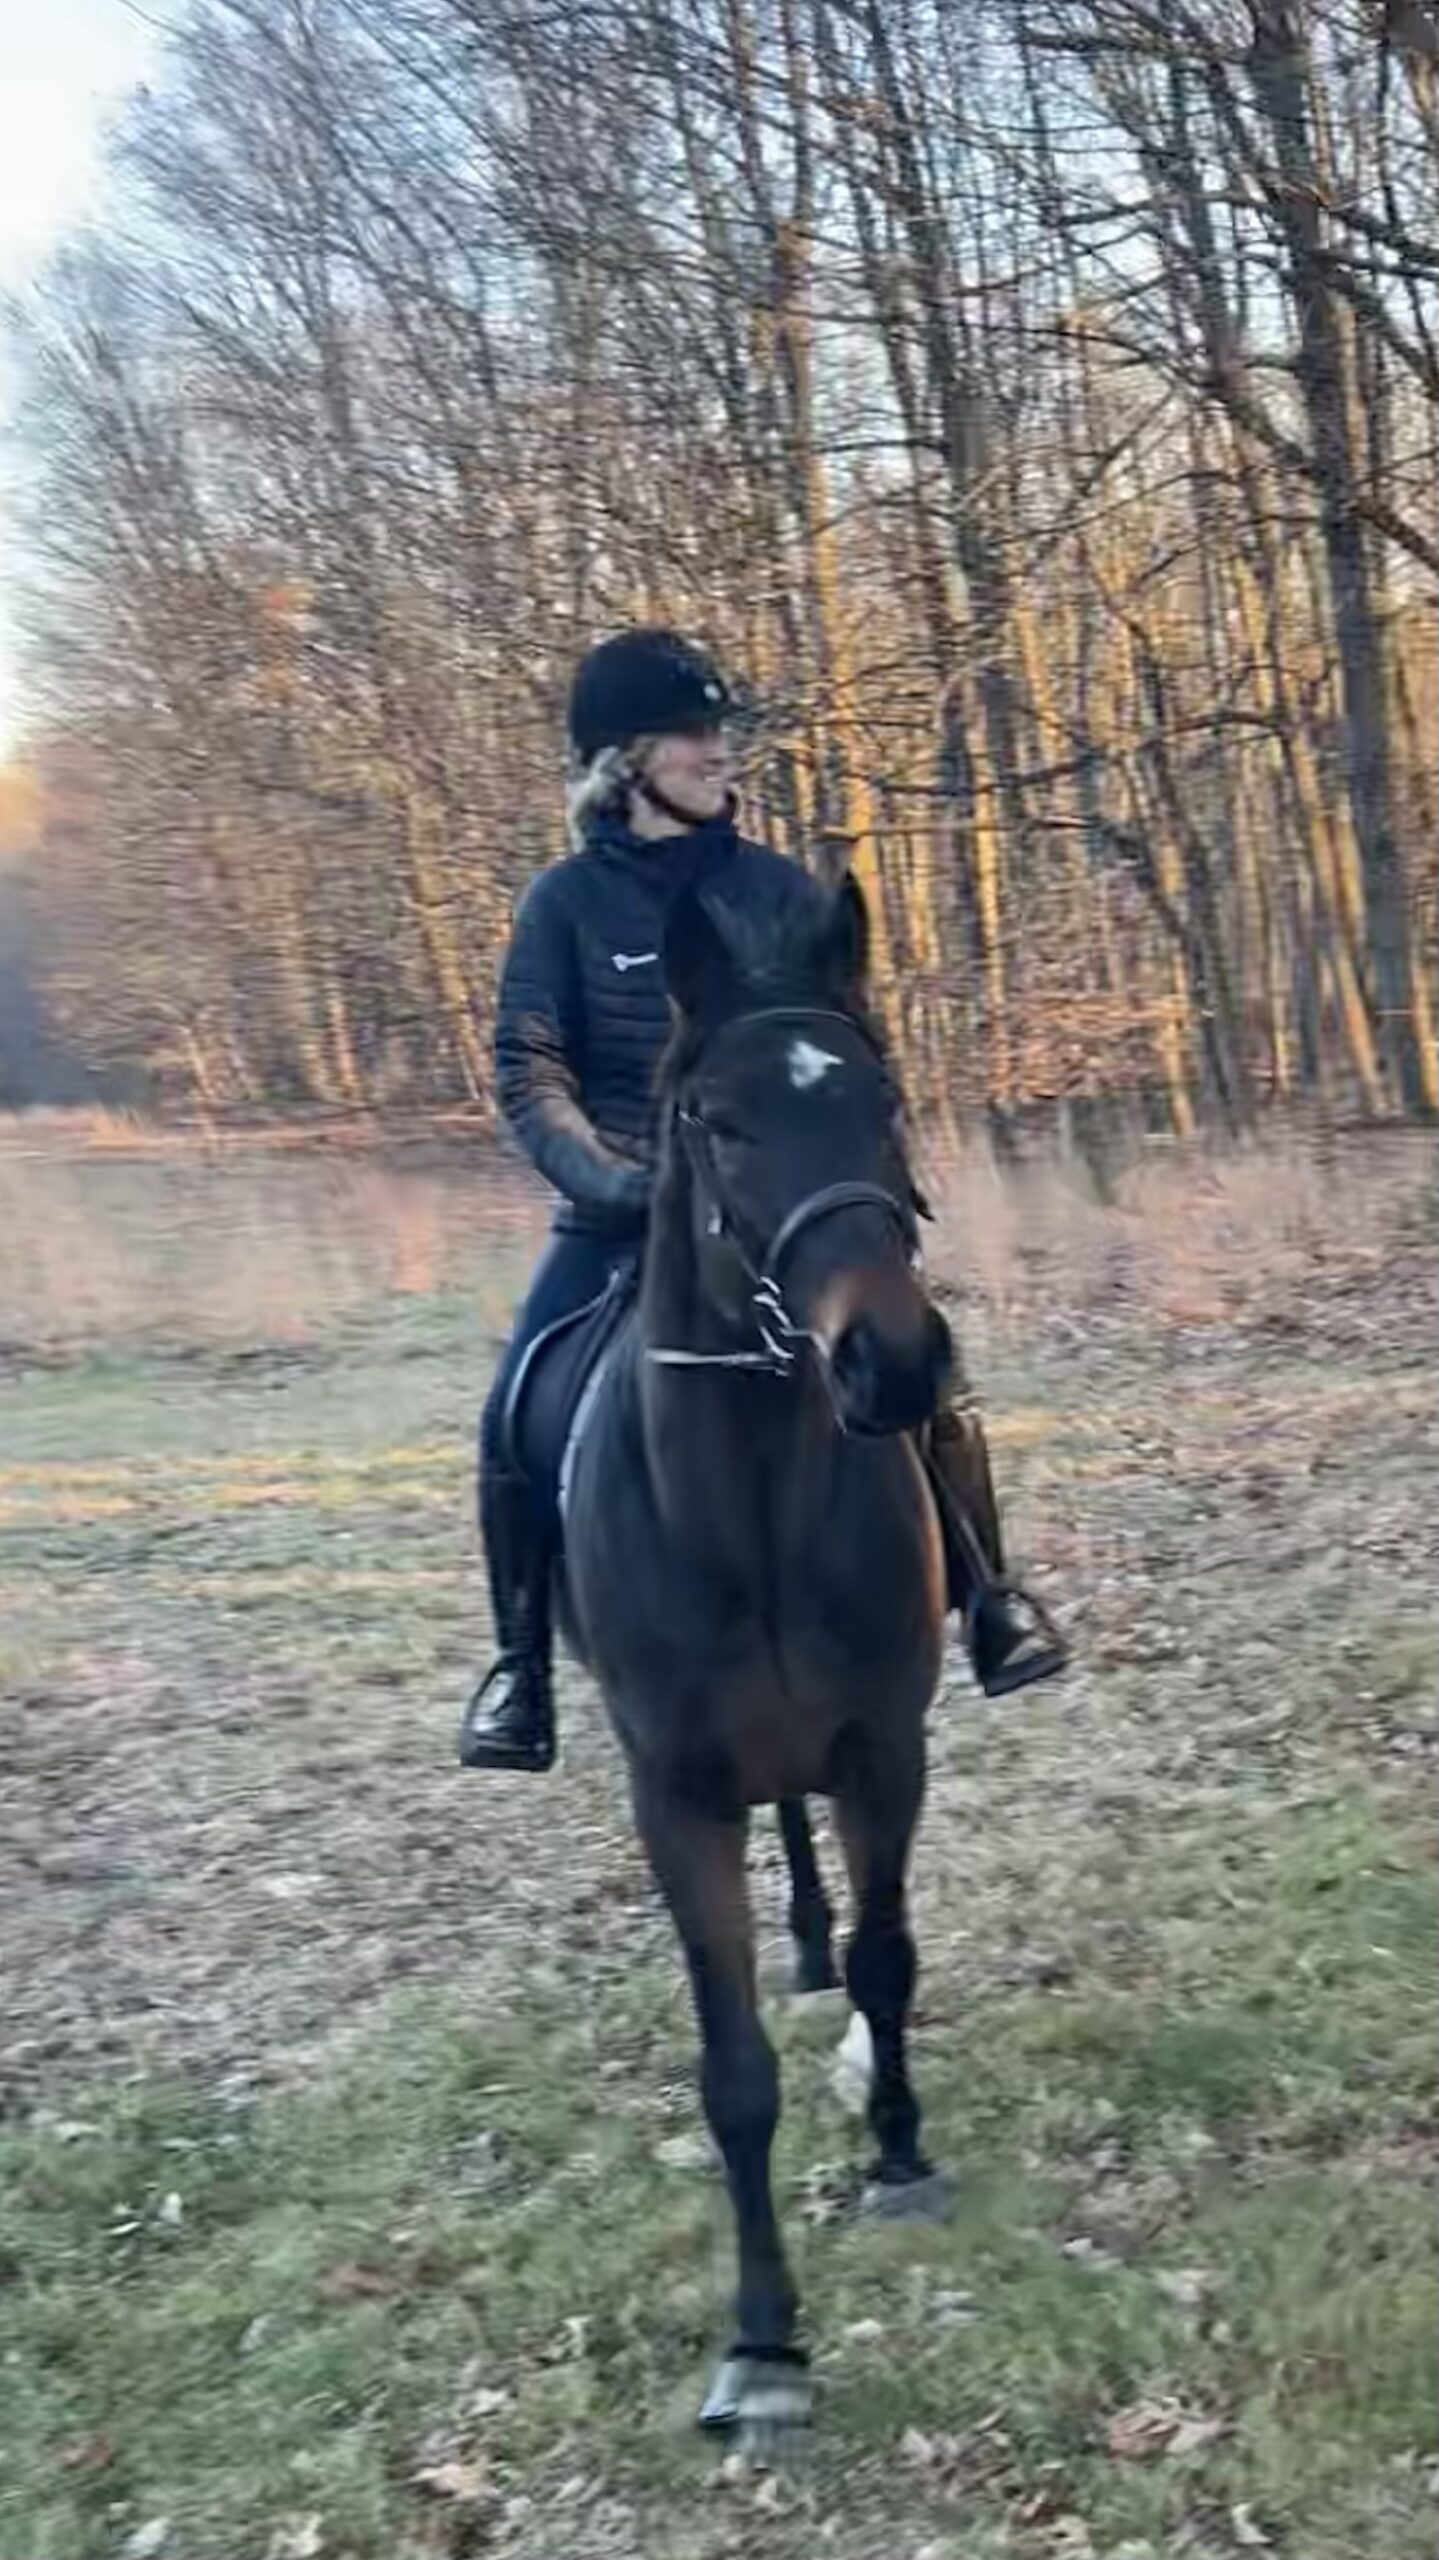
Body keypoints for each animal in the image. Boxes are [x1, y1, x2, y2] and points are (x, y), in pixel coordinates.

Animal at [557, 872, 954, 2440]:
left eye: (882, 1100)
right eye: (716, 1123)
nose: (889, 1363)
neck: (753, 1508)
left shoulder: (884, 1749)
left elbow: (888, 1960)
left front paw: (898, 2154)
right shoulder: (672, 1797)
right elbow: (730, 2074)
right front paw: (764, 2340)